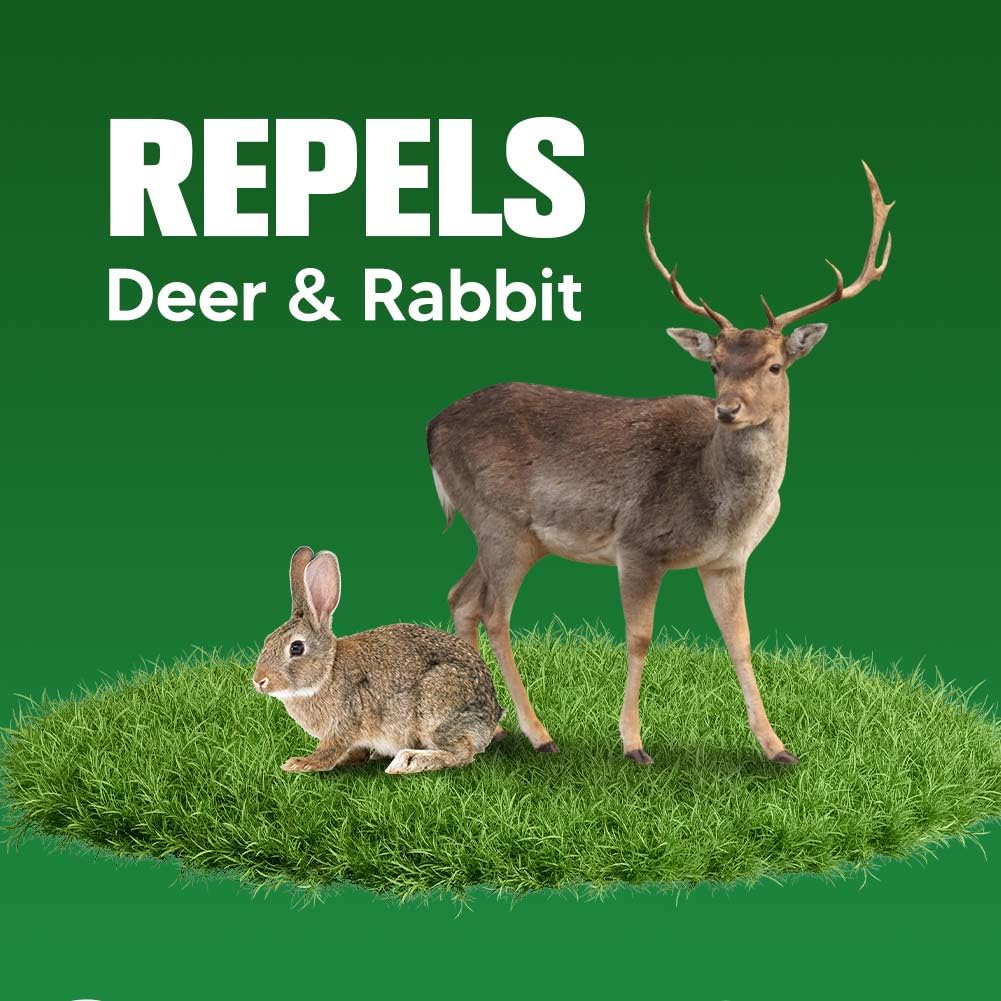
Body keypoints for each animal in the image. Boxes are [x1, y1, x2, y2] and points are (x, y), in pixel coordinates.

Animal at [253, 546, 504, 775]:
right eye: (267, 640)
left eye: (296, 648)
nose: (259, 680)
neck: (327, 673)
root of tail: (492, 714)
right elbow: (356, 751)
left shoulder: (345, 722)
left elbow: (330, 750)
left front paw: (301, 763)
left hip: (436, 709)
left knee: (461, 754)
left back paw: (408, 761)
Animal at [426, 163, 893, 766]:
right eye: (715, 365)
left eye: (774, 365)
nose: (727, 409)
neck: (723, 504)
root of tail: (431, 429)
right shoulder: (638, 545)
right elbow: (639, 637)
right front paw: (633, 744)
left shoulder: (727, 561)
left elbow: (741, 642)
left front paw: (777, 748)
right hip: (501, 522)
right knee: (494, 613)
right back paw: (538, 734)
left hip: (507, 533)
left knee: (462, 598)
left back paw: (494, 730)